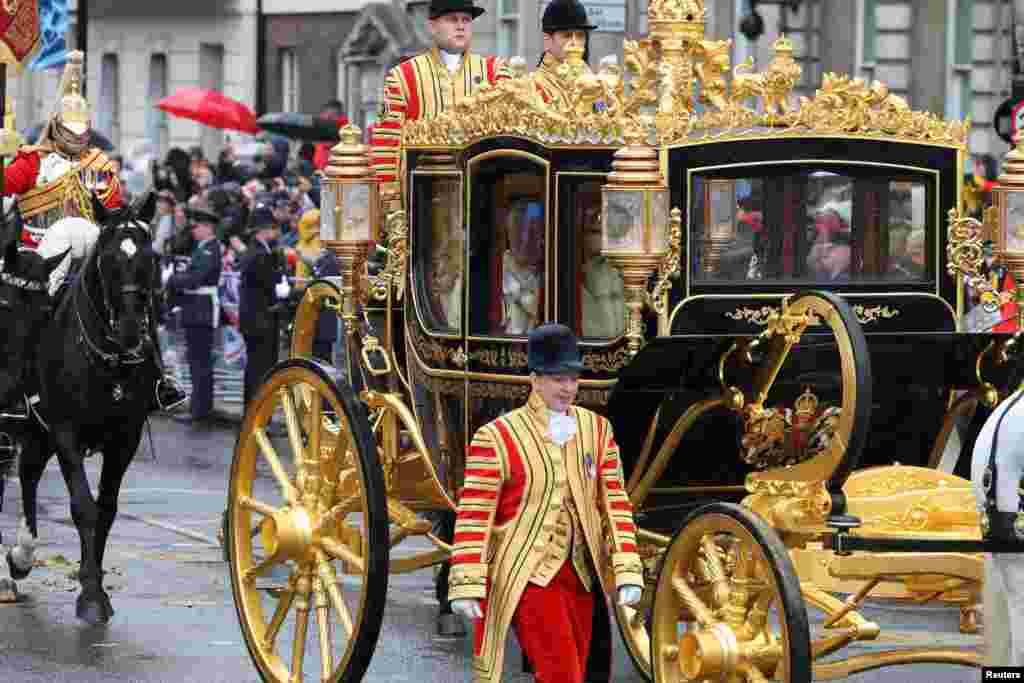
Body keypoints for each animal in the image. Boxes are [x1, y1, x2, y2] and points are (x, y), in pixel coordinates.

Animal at [4, 192, 160, 626]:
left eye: (151, 256)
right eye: (107, 258)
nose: (130, 328)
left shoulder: (125, 439)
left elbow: (106, 509)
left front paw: (95, 585)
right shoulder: (65, 432)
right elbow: (82, 507)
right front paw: (90, 594)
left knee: (28, 473)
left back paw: (22, 556)